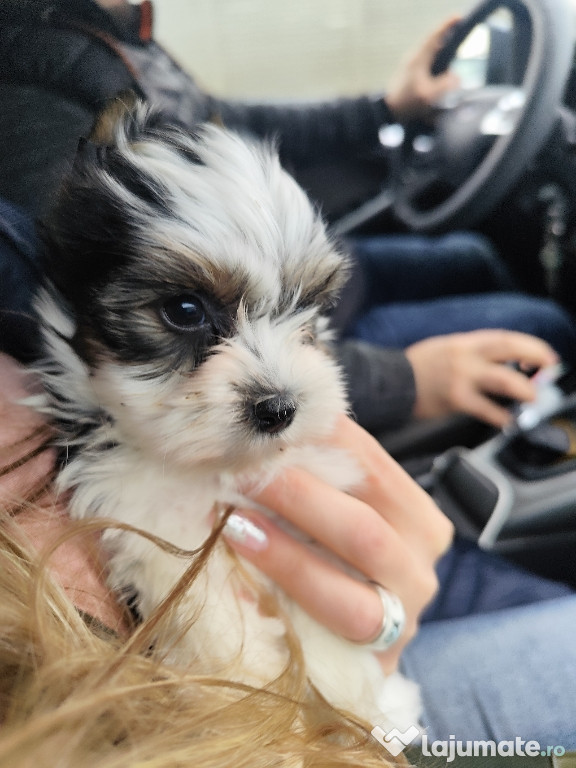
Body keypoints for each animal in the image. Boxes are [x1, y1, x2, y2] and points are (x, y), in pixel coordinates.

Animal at [35, 102, 418, 732]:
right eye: (185, 310)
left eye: (310, 306)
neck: (210, 468)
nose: (280, 408)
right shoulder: (144, 521)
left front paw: (347, 683)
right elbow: (201, 611)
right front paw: (250, 700)